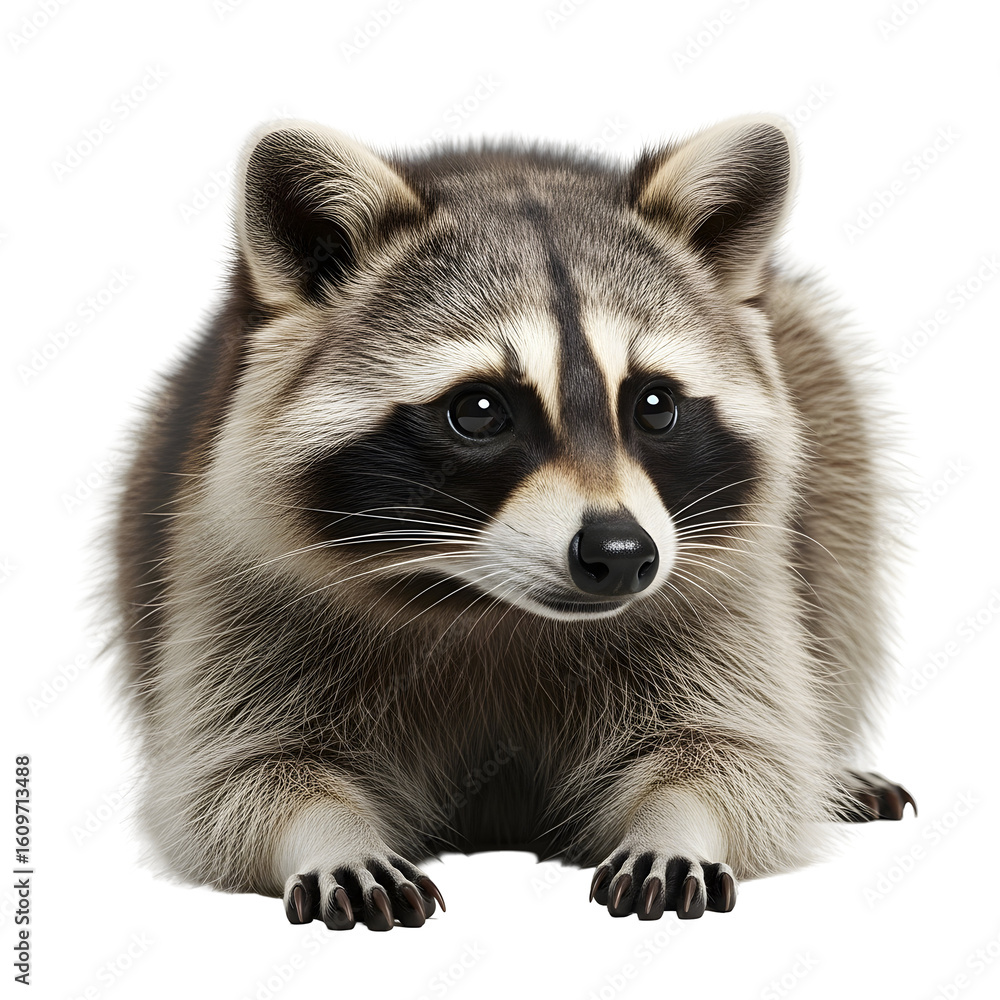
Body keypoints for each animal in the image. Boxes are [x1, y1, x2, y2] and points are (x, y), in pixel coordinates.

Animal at [111, 114, 915, 929]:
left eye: (655, 405)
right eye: (479, 410)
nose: (621, 553)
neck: (492, 608)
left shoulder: (727, 600)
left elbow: (739, 755)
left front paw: (678, 820)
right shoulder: (236, 590)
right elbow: (239, 777)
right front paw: (328, 833)